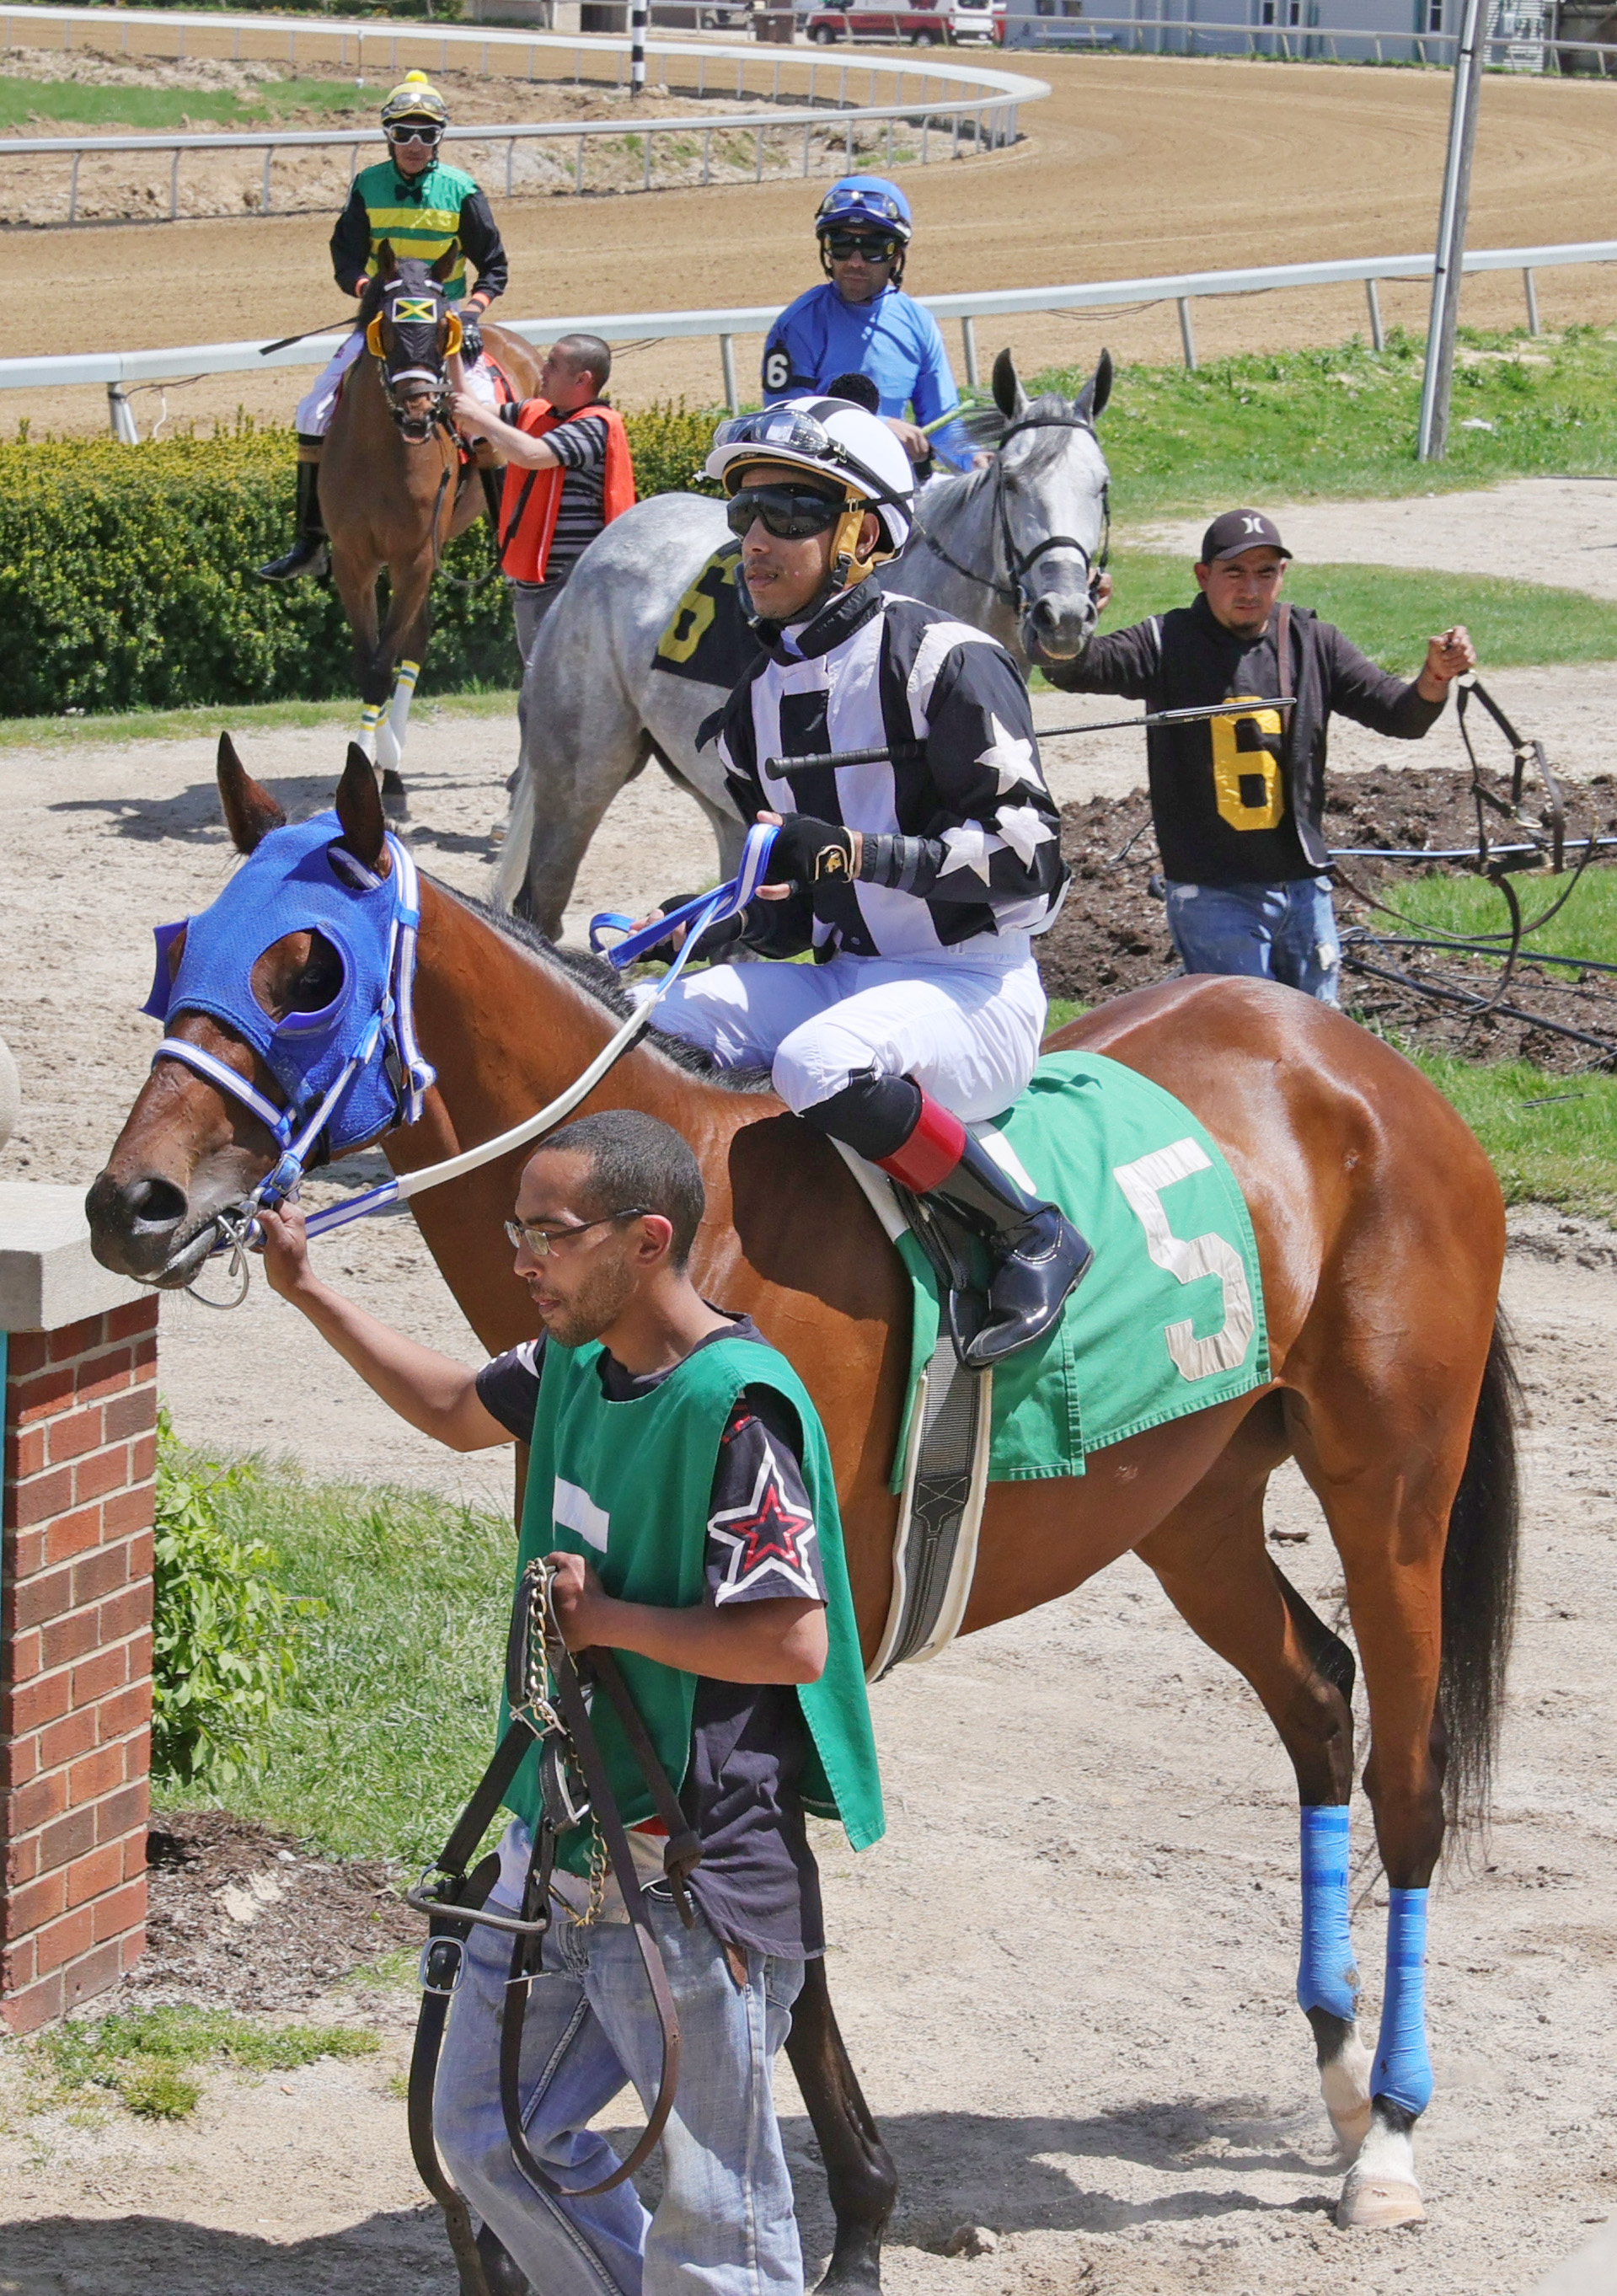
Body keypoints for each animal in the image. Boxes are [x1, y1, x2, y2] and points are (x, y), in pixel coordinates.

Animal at [88, 743, 1524, 2287]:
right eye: (183, 944)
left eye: (309, 970)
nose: (129, 1204)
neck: (698, 1232)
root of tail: (1348, 1057)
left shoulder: (782, 1645)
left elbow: (768, 1911)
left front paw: (859, 2220)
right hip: (1185, 1502)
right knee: (1315, 1696)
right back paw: (1333, 2073)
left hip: (1389, 1487)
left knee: (1405, 1779)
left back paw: (1388, 2130)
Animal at [321, 239, 542, 817]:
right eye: (387, 327)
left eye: (442, 325)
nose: (420, 411)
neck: (380, 456)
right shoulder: (354, 561)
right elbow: (371, 662)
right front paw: (374, 760)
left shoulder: (414, 558)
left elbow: (387, 659)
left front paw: (381, 771)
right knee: (416, 642)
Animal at [491, 344, 1111, 936]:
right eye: (1011, 480)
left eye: (1101, 484)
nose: (1062, 617)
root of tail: (598, 550)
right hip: (580, 776)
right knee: (539, 903)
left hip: (719, 802)